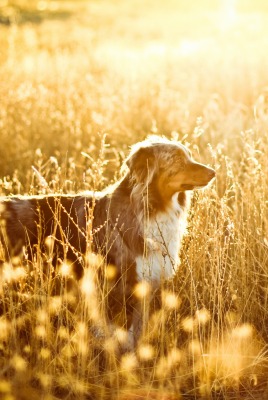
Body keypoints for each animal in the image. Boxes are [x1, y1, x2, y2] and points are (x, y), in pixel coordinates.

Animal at [0, 136, 215, 342]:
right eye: (178, 159)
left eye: (189, 155)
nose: (213, 172)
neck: (147, 207)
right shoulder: (114, 284)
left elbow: (137, 329)